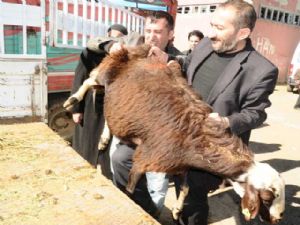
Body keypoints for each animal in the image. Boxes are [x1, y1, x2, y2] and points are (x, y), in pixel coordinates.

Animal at [63, 44, 284, 223]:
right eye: (267, 198)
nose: (278, 218)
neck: (194, 141)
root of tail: (139, 50)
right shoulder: (144, 159)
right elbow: (131, 189)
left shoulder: (180, 166)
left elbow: (186, 188)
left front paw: (178, 210)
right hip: (107, 70)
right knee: (91, 79)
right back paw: (72, 100)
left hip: (115, 99)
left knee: (107, 106)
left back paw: (103, 139)